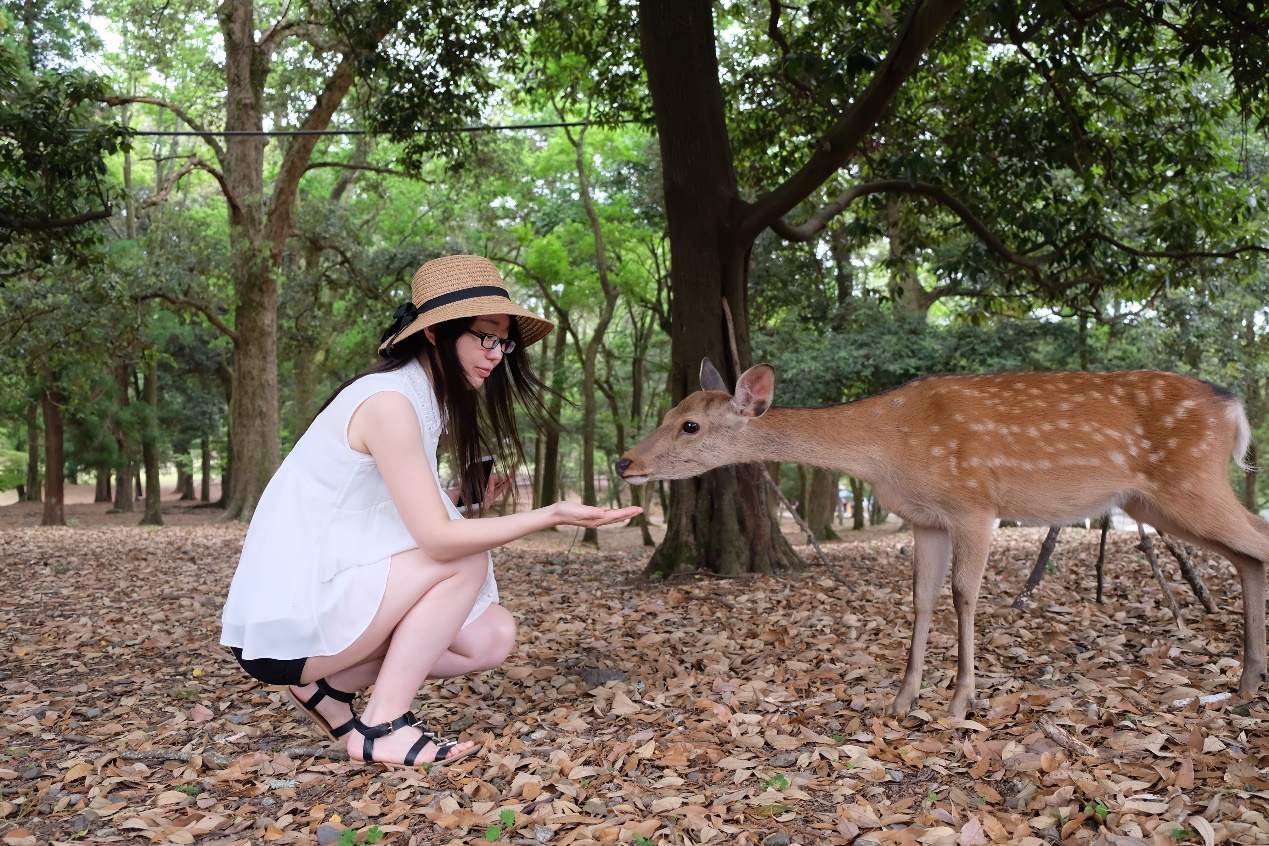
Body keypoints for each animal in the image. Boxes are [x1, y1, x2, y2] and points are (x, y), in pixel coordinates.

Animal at [614, 355, 1269, 720]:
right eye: (668, 412)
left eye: (690, 424)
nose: (624, 462)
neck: (888, 449)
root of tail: (1235, 409)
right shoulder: (926, 518)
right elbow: (921, 600)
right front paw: (903, 701)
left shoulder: (974, 505)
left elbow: (964, 596)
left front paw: (959, 703)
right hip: (1152, 500)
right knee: (1249, 555)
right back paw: (1244, 683)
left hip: (1188, 480)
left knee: (1256, 542)